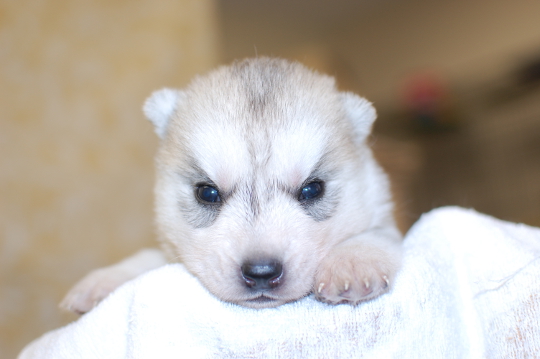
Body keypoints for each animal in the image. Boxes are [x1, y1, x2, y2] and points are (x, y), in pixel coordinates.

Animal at [61, 57, 402, 314]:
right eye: (207, 193)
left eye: (312, 189)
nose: (261, 272)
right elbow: (152, 256)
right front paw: (107, 278)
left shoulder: (384, 217)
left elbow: (377, 233)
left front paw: (353, 261)